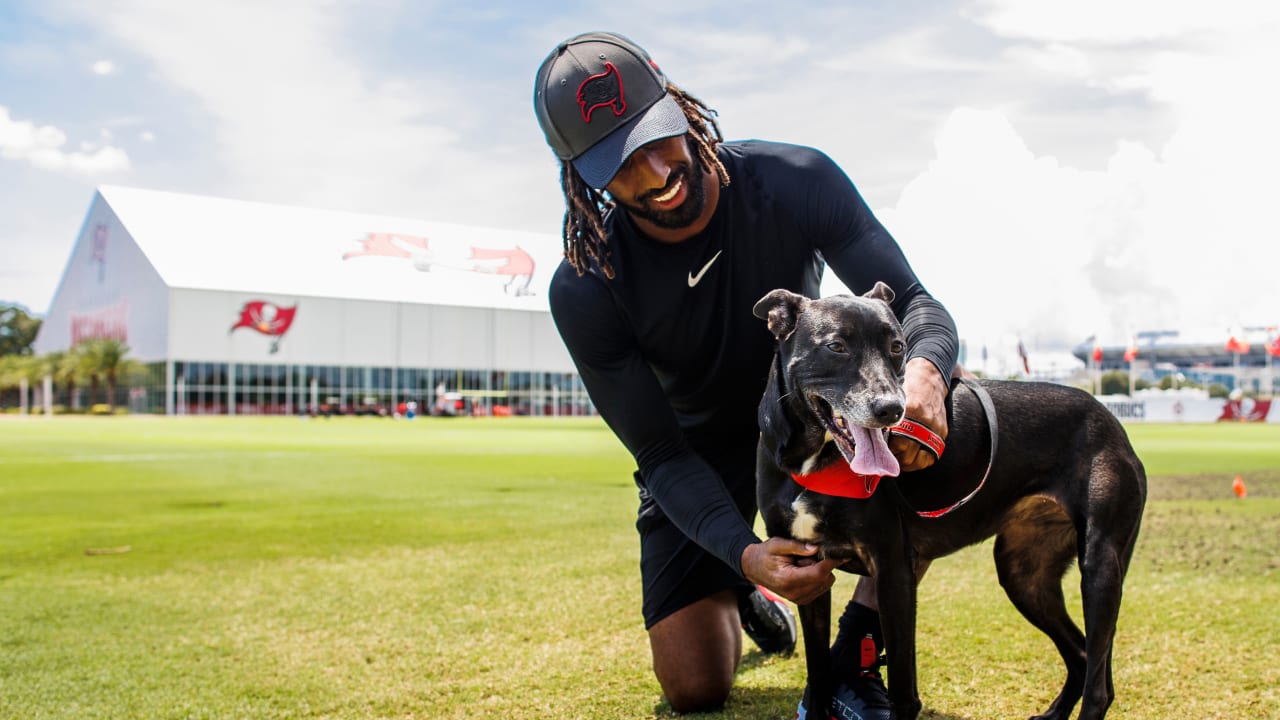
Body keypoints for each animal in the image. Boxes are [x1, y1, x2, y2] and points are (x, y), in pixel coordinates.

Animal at [752, 284, 1146, 717]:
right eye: (836, 346)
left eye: (897, 346)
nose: (892, 409)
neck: (814, 461)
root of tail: (1111, 421)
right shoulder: (806, 571)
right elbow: (818, 671)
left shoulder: (893, 571)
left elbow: (903, 686)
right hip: (1025, 574)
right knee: (1081, 654)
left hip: (1100, 565)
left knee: (1099, 683)